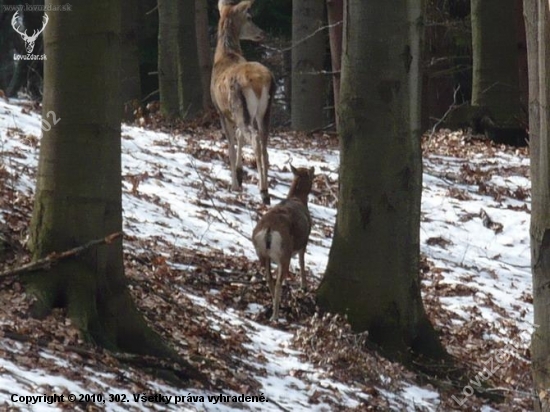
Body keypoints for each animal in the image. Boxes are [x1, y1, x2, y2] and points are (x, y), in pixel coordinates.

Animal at [211, 0, 276, 205]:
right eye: (249, 17)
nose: (262, 33)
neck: (225, 55)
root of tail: (262, 81)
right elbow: (239, 137)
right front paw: (240, 174)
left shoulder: (221, 111)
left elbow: (230, 146)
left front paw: (235, 183)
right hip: (264, 111)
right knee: (264, 144)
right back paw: (265, 189)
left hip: (240, 107)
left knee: (255, 140)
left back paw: (264, 191)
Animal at [253, 166, 314, 320]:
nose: (312, 169)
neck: (298, 199)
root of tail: (269, 230)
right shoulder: (304, 242)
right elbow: (302, 262)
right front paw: (304, 286)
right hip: (283, 252)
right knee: (278, 280)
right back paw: (275, 315)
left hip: (262, 253)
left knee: (269, 277)